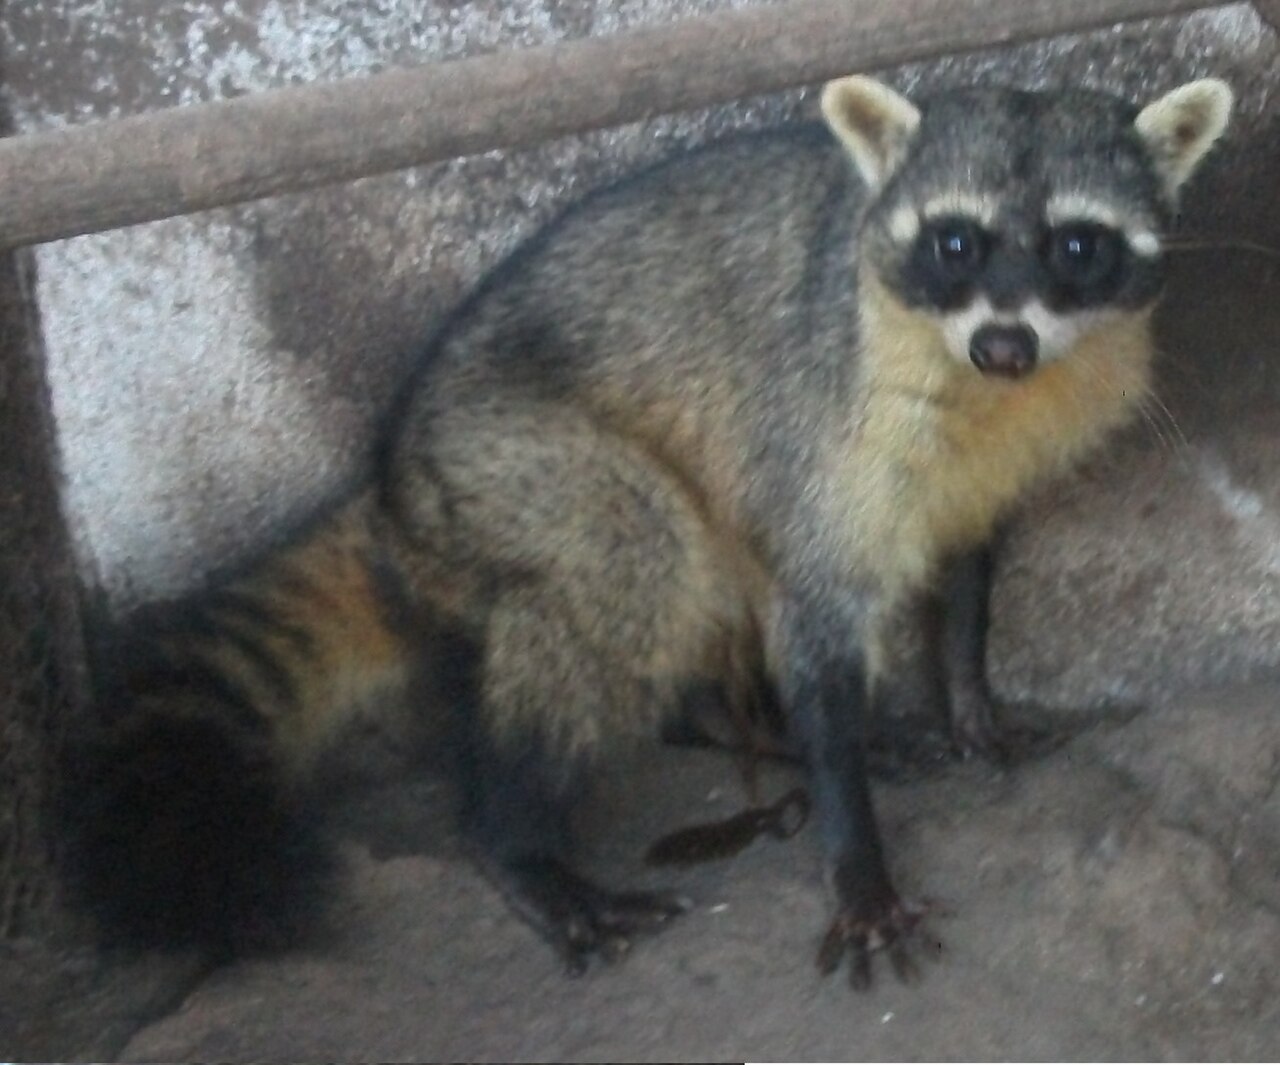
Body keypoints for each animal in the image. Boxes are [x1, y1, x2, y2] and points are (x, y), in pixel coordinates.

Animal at [63, 75, 1232, 985]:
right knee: (630, 560)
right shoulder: (825, 423)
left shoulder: (1004, 450)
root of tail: (391, 488)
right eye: (955, 241)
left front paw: (969, 695)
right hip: (516, 461)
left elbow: (971, 564)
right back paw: (520, 832)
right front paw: (854, 852)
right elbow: (815, 621)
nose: (1002, 343)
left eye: (1077, 246)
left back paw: (717, 713)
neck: (989, 393)